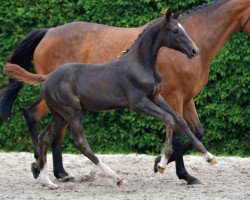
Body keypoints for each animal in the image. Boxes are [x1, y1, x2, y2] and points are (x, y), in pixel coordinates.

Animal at [0, 0, 249, 184]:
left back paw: (49, 174)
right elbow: (173, 125)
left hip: (62, 113)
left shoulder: (171, 97)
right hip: (70, 111)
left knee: (48, 133)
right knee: (64, 133)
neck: (140, 63)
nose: (193, 51)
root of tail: (48, 32)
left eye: (185, 30)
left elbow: (189, 127)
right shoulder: (151, 99)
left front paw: (204, 158)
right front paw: (170, 167)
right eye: (175, 31)